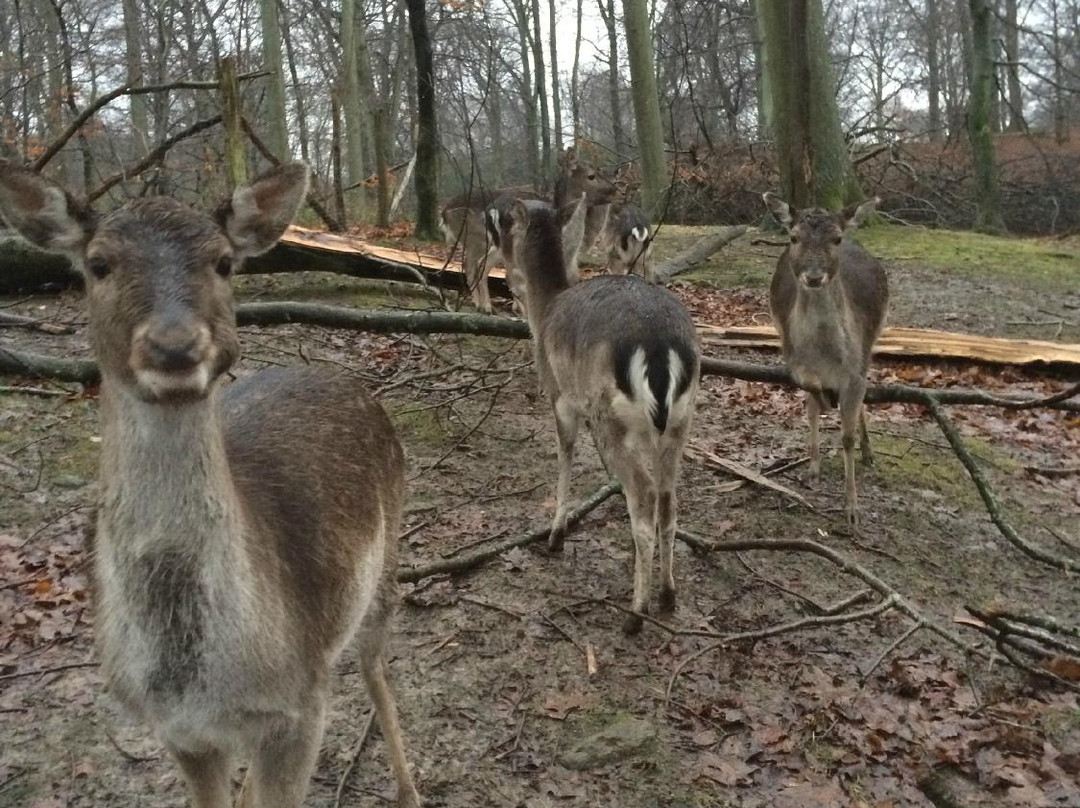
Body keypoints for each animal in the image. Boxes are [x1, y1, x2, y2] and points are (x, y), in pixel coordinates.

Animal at [0, 159, 421, 808]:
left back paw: (410, 788)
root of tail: (347, 381)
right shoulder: (179, 731)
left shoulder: (300, 707)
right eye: (98, 263)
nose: (174, 345)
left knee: (376, 664)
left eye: (223, 262)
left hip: (387, 558)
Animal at [494, 197, 699, 639]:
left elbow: (565, 456)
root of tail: (660, 346)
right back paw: (668, 594)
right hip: (679, 423)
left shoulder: (560, 395)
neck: (544, 312)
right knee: (668, 502)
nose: (505, 280)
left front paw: (555, 534)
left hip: (613, 419)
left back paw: (634, 614)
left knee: (643, 497)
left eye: (504, 228)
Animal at [760, 192, 885, 533]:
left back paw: (868, 451)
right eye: (793, 237)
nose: (814, 276)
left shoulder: (855, 367)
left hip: (875, 334)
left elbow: (847, 435)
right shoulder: (791, 355)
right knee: (810, 406)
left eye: (836, 238)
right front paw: (826, 400)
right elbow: (810, 395)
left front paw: (852, 509)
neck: (825, 354)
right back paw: (813, 466)